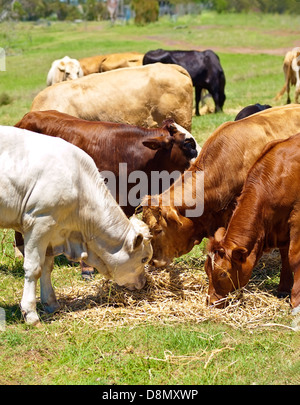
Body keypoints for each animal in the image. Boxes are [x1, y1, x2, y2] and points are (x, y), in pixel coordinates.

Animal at [0, 126, 152, 326]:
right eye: (143, 259)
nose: (143, 283)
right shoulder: (39, 222)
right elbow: (34, 268)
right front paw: (30, 314)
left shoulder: (53, 232)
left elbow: (47, 267)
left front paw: (51, 304)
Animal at [206, 133, 300, 312]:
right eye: (206, 269)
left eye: (223, 273)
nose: (212, 303)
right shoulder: (280, 227)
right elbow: (285, 256)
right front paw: (284, 288)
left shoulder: (296, 219)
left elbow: (294, 258)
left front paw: (296, 301)